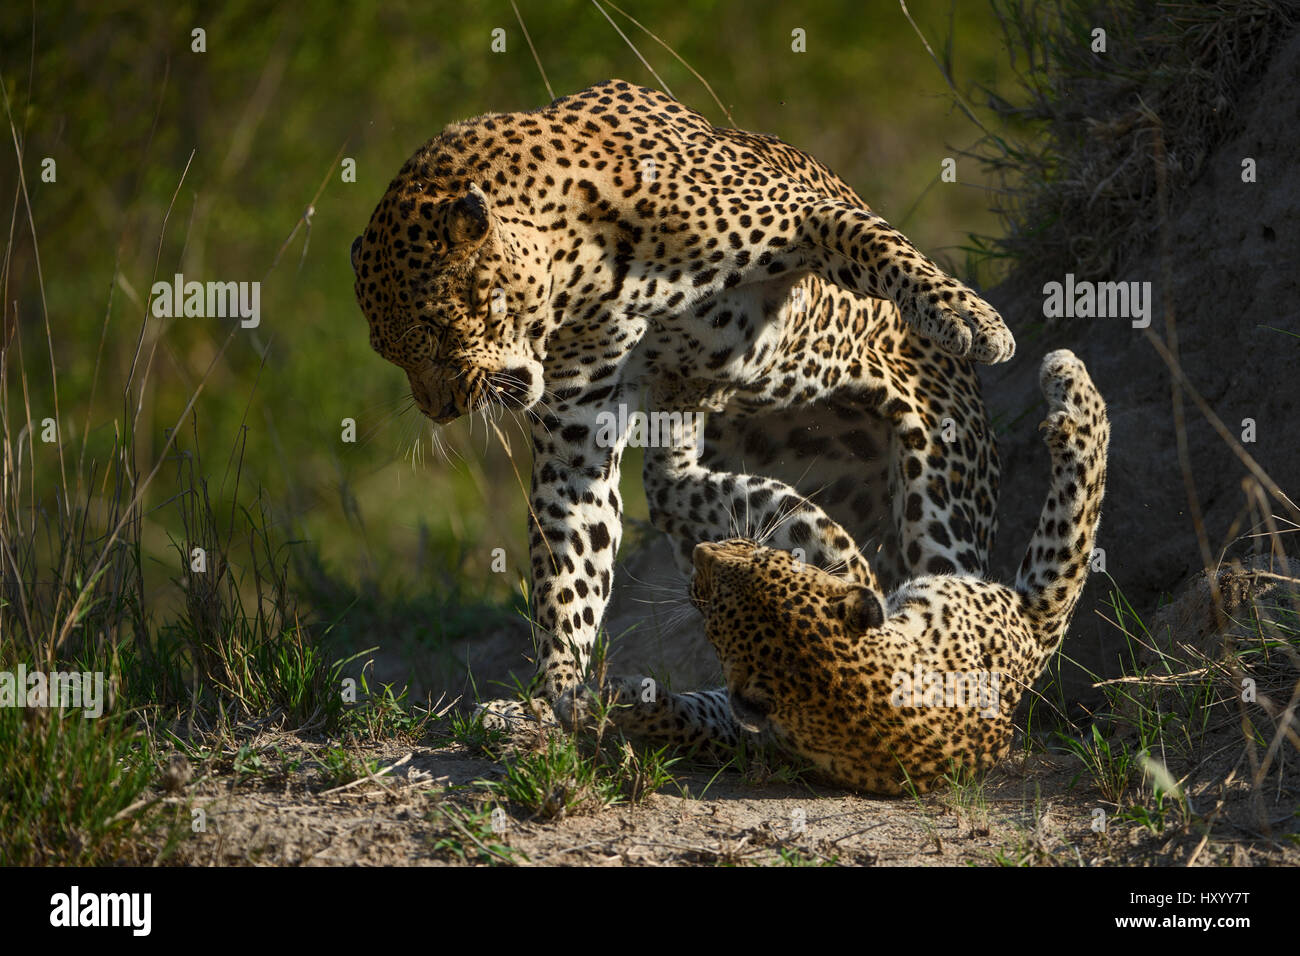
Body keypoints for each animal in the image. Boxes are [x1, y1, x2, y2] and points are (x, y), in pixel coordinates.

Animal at [353, 83, 1013, 738]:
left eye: (437, 331)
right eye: (389, 351)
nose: (440, 410)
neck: (579, 269)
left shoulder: (803, 212)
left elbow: (875, 240)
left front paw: (969, 317)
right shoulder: (577, 447)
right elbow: (570, 566)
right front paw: (553, 696)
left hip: (942, 489)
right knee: (690, 494)